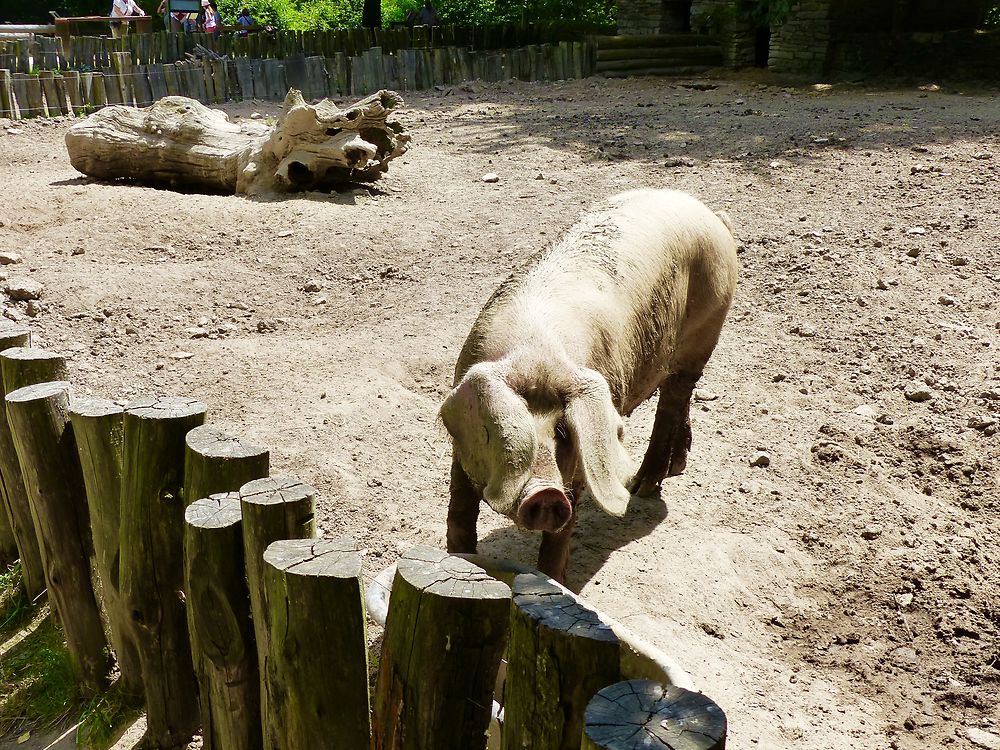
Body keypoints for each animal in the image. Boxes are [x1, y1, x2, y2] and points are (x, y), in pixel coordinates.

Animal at [442, 189, 740, 588]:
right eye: (513, 431)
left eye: (563, 432)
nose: (546, 492)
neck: (536, 352)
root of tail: (712, 216)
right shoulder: (460, 450)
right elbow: (460, 516)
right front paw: (459, 561)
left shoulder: (582, 463)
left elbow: (559, 538)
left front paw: (555, 580)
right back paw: (674, 468)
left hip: (704, 333)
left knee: (673, 400)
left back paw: (641, 487)